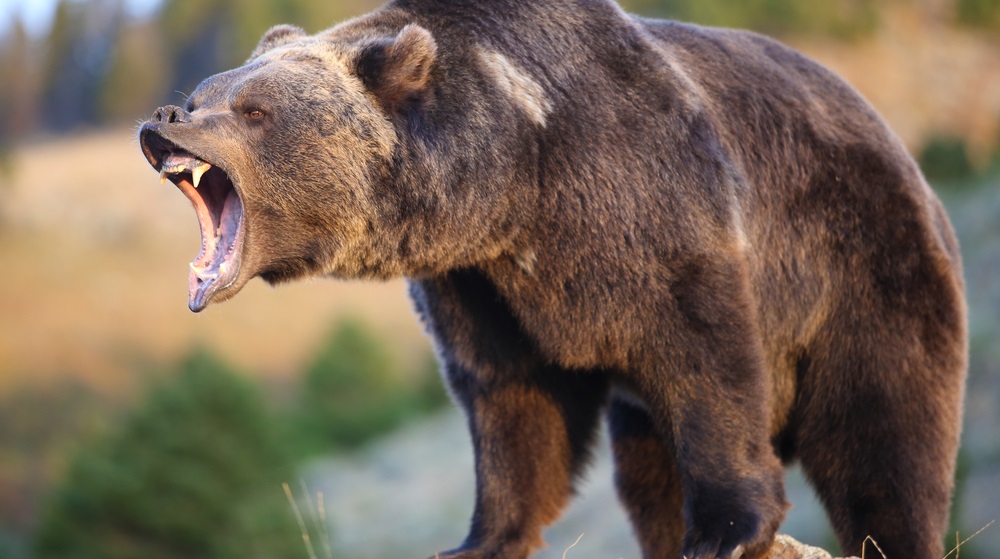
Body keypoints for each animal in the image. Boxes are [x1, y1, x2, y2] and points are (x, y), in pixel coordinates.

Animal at [138, 1, 967, 558]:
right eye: (207, 91)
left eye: (253, 109)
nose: (164, 117)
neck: (515, 181)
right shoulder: (480, 285)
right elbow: (510, 401)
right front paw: (477, 538)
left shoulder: (648, 202)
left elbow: (708, 361)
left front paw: (728, 529)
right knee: (648, 471)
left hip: (866, 270)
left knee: (885, 435)